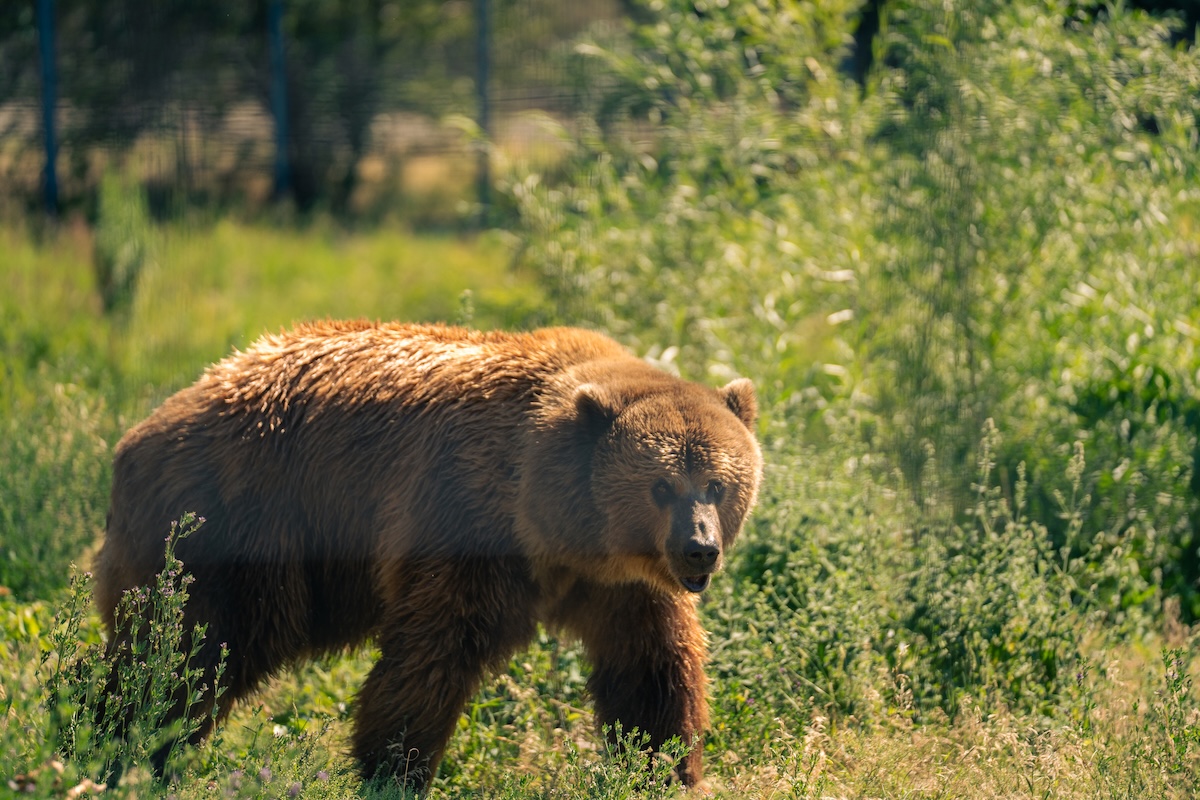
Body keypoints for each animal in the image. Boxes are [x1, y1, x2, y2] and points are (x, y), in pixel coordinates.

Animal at [94, 321, 763, 789]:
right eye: (662, 486)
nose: (699, 550)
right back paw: (121, 745)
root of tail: (139, 433)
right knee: (184, 654)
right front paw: (394, 768)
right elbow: (431, 655)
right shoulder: (465, 519)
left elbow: (650, 669)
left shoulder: (623, 582)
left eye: (717, 483)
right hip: (237, 523)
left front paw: (664, 766)